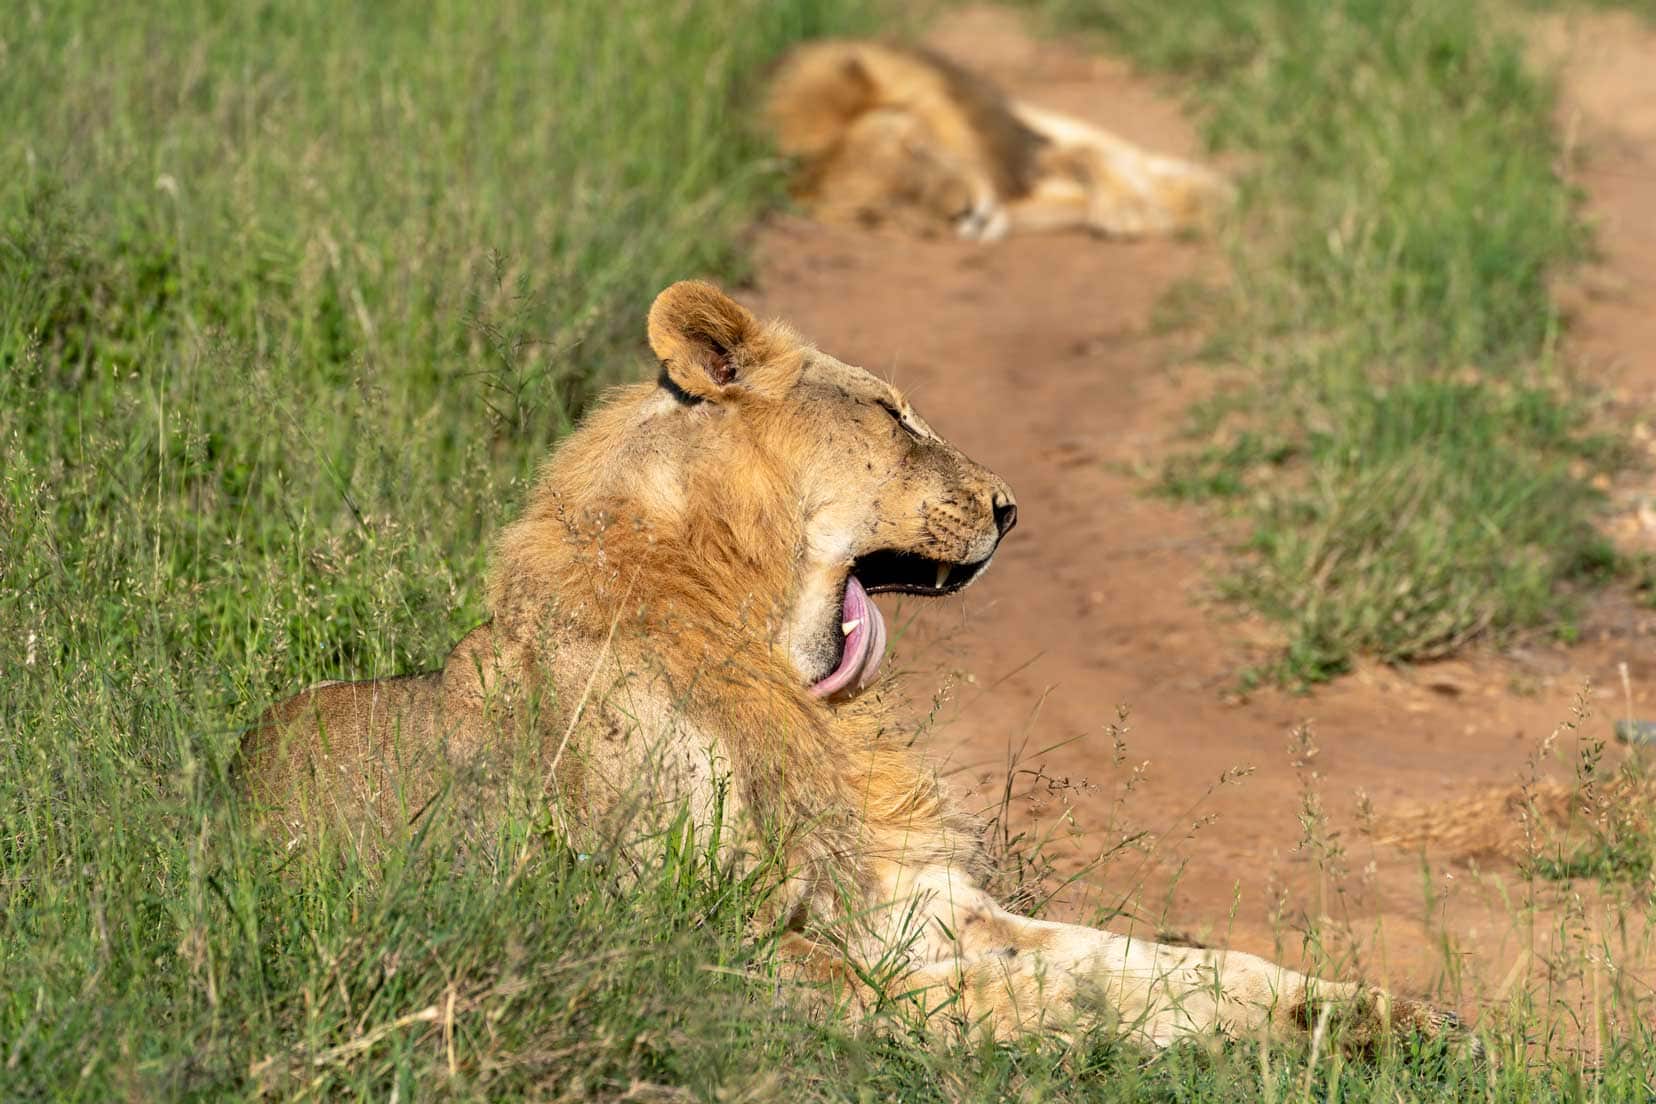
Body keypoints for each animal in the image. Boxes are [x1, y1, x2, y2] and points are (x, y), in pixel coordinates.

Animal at [241, 278, 1463, 1052]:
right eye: (889, 412)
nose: (1011, 509)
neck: (765, 654)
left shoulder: (914, 897)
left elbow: (1157, 962)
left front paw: (1374, 1020)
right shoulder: (681, 933)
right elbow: (973, 998)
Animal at [761, 42, 1232, 243]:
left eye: (918, 146)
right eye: (883, 209)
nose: (965, 214)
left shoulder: (1021, 148)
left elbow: (1092, 152)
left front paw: (1143, 207)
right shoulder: (1016, 201)